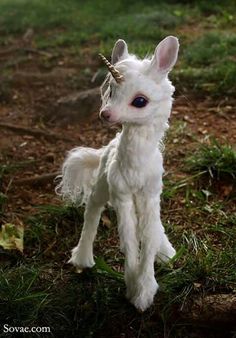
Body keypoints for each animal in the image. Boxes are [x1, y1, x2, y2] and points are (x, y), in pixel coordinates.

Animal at [57, 36, 179, 312]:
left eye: (140, 101)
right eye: (110, 91)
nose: (105, 114)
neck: (135, 169)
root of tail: (110, 144)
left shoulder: (151, 193)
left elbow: (148, 232)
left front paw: (145, 289)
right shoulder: (121, 193)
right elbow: (129, 238)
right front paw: (134, 288)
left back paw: (166, 251)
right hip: (104, 184)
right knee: (92, 209)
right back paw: (82, 258)